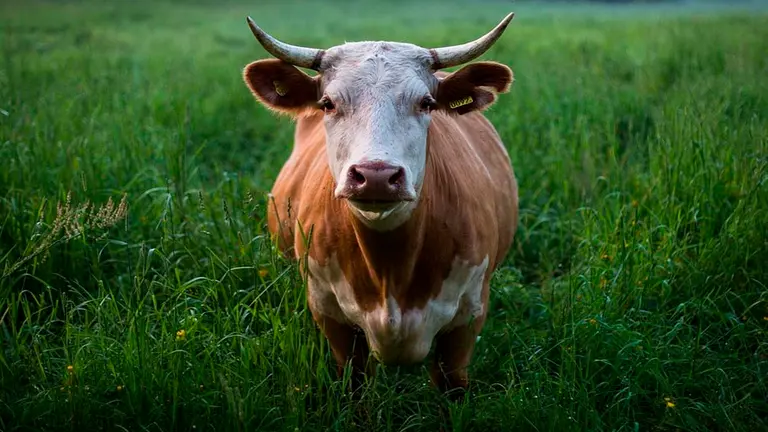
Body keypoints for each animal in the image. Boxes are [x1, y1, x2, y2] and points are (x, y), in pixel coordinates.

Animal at [242, 13, 519, 396]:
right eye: (328, 103)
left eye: (426, 103)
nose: (376, 175)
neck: (390, 270)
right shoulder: (330, 315)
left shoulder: (467, 319)